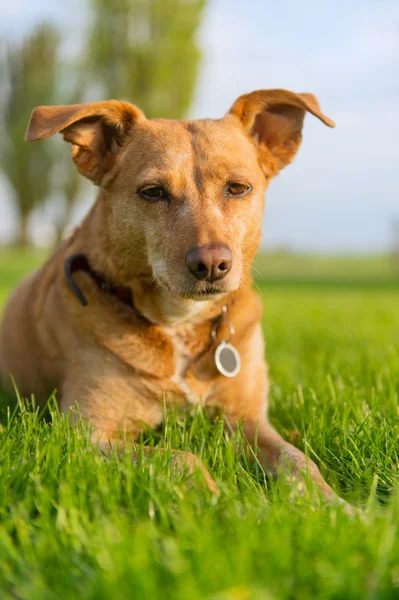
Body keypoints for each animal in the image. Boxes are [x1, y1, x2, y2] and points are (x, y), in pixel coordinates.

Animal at [0, 88, 354, 510]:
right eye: (153, 192)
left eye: (238, 187)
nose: (212, 264)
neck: (180, 324)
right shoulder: (85, 435)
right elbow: (180, 457)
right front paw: (228, 507)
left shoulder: (247, 419)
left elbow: (298, 459)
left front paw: (338, 507)